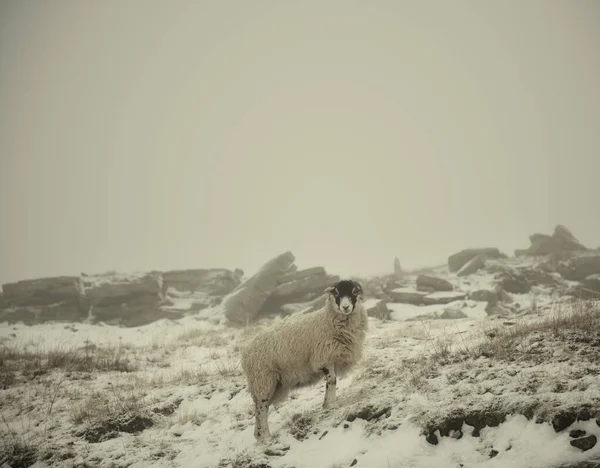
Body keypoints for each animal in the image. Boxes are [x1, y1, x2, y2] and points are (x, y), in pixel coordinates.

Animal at [239, 282, 366, 442]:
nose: (345, 307)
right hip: (263, 379)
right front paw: (332, 405)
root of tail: (246, 353)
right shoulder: (324, 357)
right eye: (336, 293)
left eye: (354, 292)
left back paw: (259, 435)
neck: (327, 319)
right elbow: (332, 381)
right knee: (261, 408)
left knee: (259, 408)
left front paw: (326, 404)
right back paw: (266, 436)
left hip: (272, 383)